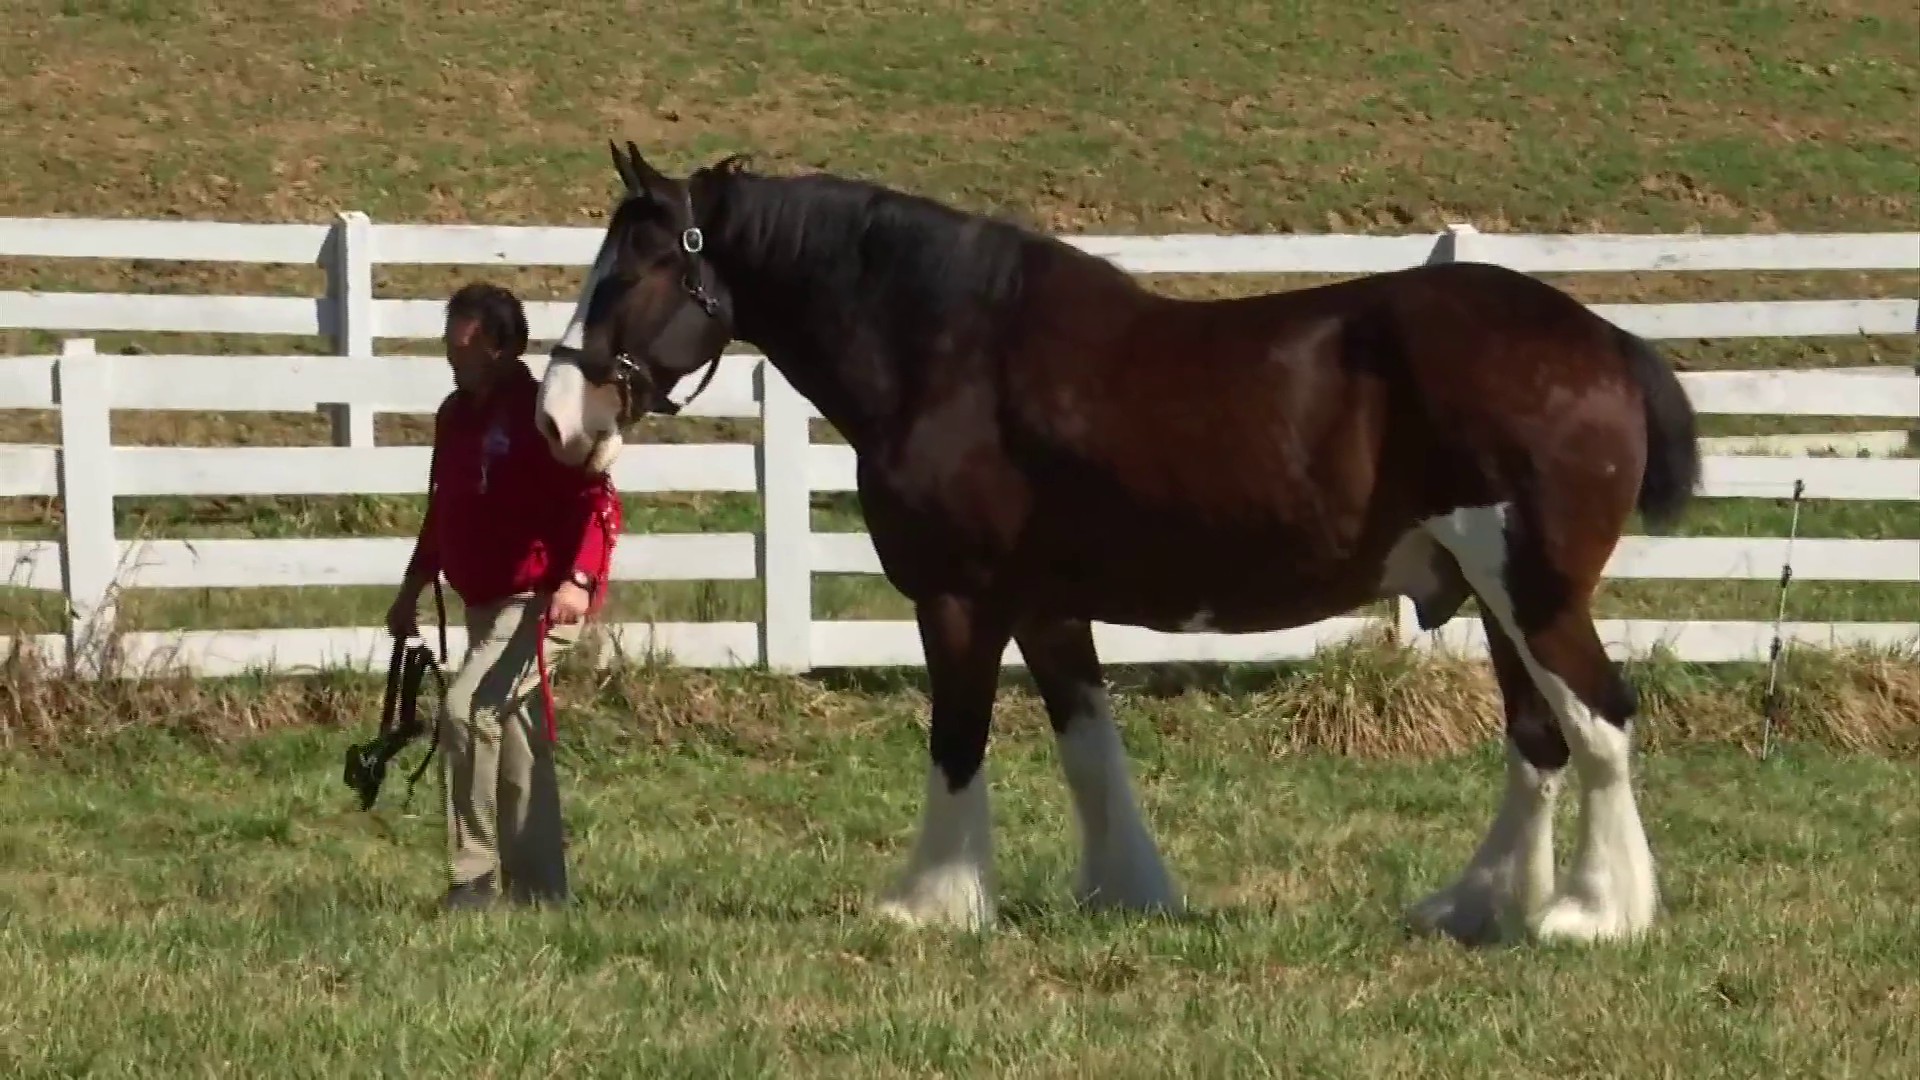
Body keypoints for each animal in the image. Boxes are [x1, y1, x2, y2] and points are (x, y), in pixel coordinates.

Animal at [533, 141, 1704, 941]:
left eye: (630, 273)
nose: (556, 419)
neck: (949, 348)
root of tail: (1603, 342)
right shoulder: (1049, 607)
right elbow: (1090, 747)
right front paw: (1126, 890)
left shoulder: (960, 597)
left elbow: (958, 742)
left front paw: (931, 901)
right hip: (1497, 595)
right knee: (1538, 741)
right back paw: (1476, 905)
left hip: (1535, 592)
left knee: (1599, 724)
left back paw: (1596, 916)